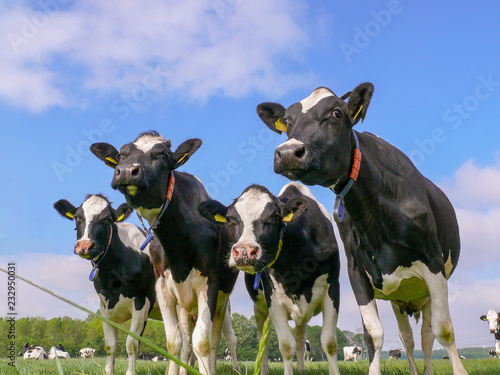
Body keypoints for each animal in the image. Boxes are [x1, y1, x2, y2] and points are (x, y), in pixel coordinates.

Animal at [54, 195, 164, 374]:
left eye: (107, 220)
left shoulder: (143, 301)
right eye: (77, 217)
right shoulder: (104, 306)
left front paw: (130, 372)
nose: (84, 246)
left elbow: (132, 344)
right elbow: (110, 345)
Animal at [91, 131, 241, 374]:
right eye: (121, 155)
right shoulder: (162, 287)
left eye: (163, 155)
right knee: (188, 340)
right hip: (185, 306)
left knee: (219, 339)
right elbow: (174, 342)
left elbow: (203, 341)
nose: (126, 171)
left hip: (223, 303)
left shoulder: (209, 285)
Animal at [197, 182, 342, 375]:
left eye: (274, 217)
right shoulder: (273, 299)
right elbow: (286, 345)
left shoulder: (332, 289)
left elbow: (329, 342)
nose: (244, 251)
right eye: (229, 219)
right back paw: (264, 369)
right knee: (263, 341)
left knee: (300, 339)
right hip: (260, 309)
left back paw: (301, 369)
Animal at [258, 82, 468, 375]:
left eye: (336, 113)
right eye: (287, 120)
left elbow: (444, 330)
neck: (374, 209)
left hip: (424, 290)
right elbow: (374, 334)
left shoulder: (433, 263)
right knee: (408, 338)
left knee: (427, 336)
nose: (288, 153)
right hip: (400, 296)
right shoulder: (357, 270)